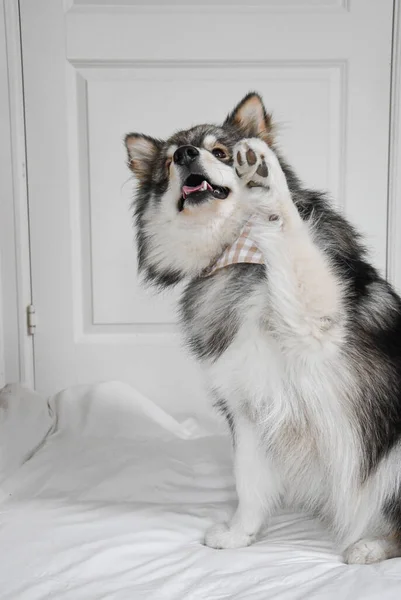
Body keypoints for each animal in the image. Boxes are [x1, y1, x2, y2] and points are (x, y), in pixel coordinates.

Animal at [123, 92, 400, 564]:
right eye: (170, 163)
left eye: (220, 152)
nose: (185, 155)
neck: (238, 256)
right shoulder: (246, 407)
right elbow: (249, 484)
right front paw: (240, 535)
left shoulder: (319, 329)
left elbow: (287, 232)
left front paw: (265, 179)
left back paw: (370, 544)